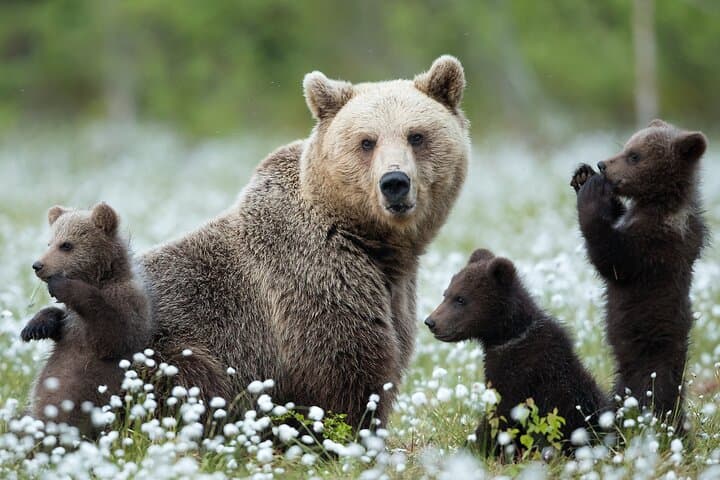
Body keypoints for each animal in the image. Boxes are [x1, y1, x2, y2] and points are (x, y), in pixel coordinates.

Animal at [21, 202, 152, 436]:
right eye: (49, 242)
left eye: (66, 245)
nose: (38, 265)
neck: (101, 278)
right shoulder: (71, 323)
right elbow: (59, 320)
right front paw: (34, 327)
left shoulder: (128, 305)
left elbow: (111, 334)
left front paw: (62, 285)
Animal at [139, 55, 470, 428]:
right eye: (367, 141)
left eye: (416, 136)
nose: (395, 182)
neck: (371, 242)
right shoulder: (314, 281)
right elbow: (346, 371)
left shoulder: (395, 293)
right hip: (165, 347)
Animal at [424, 249, 607, 453]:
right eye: (446, 294)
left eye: (461, 298)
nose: (431, 322)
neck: (508, 336)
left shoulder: (522, 377)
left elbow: (500, 417)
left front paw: (473, 446)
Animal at [570, 119, 708, 430]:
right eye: (626, 147)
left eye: (635, 156)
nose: (603, 164)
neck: (658, 203)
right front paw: (583, 175)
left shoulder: (655, 247)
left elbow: (612, 258)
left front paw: (592, 193)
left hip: (649, 362)